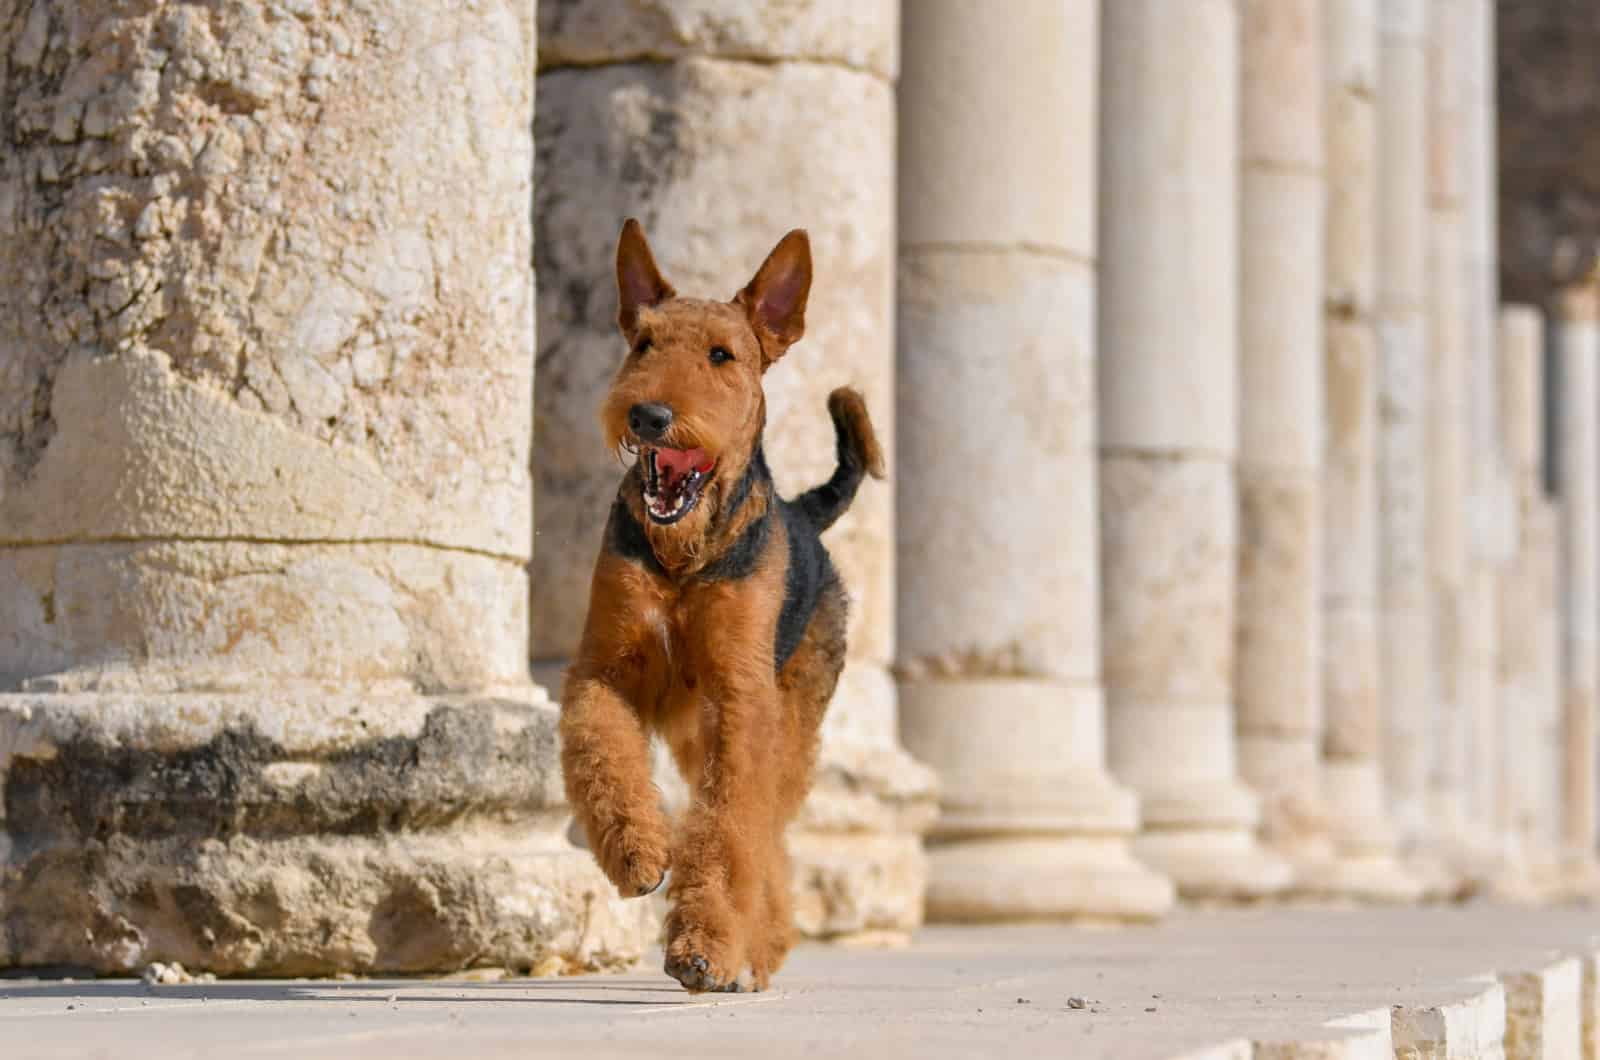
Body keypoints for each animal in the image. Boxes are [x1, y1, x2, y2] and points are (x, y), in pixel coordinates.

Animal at [560, 219, 889, 992]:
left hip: (788, 726)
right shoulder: (604, 667)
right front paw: (637, 854)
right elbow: (602, 755)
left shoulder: (742, 699)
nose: (649, 414)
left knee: (766, 834)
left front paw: (705, 948)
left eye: (721, 354)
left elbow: (730, 828)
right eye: (643, 344)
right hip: (692, 730)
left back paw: (756, 952)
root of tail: (806, 512)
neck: (685, 558)